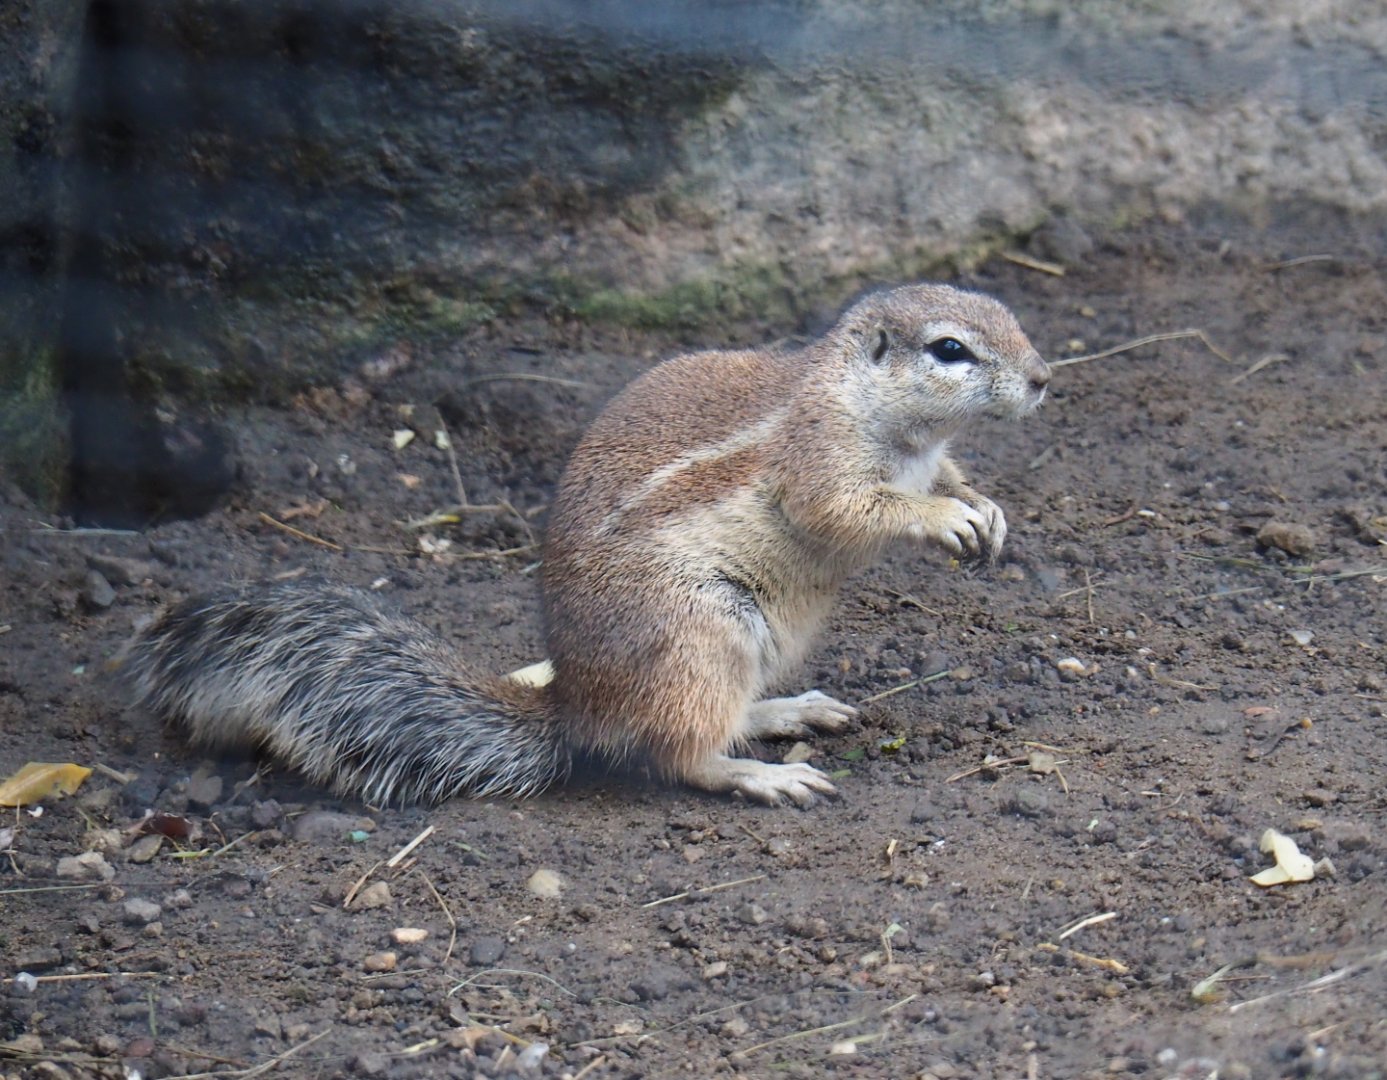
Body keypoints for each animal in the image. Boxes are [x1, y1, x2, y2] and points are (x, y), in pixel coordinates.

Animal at [125, 283, 1050, 808]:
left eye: (1012, 318)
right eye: (950, 350)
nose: (1044, 379)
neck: (869, 405)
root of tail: (576, 708)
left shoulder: (926, 456)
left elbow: (953, 475)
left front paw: (984, 508)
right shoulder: (816, 458)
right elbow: (846, 510)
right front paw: (940, 519)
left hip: (757, 640)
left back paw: (790, 711)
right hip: (700, 632)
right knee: (679, 754)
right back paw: (763, 774)